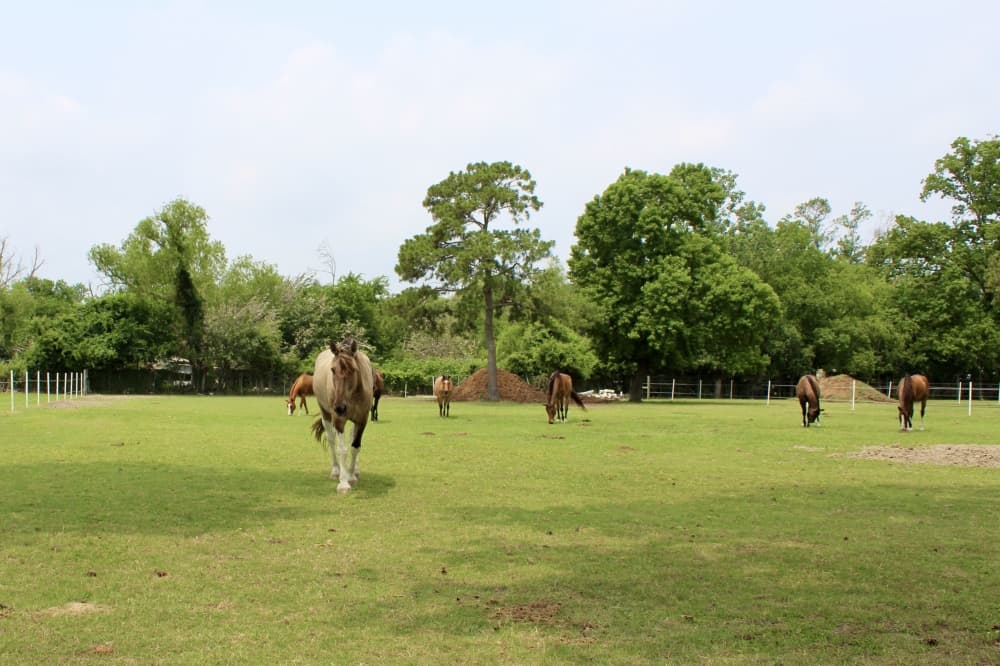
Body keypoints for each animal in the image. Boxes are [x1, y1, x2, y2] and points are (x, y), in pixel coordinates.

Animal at [310, 338, 374, 493]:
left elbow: (355, 446)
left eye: (354, 369)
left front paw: (351, 476)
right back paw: (336, 471)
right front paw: (344, 482)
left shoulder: (362, 420)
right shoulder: (338, 420)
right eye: (333, 370)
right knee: (332, 440)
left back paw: (354, 470)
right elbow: (343, 450)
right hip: (326, 415)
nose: (339, 407)